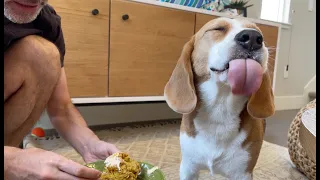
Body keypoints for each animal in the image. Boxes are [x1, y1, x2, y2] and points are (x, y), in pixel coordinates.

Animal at [165, 17, 276, 180]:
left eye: (258, 32)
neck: (220, 108)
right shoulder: (188, 167)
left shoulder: (243, 173)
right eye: (218, 28)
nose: (253, 38)